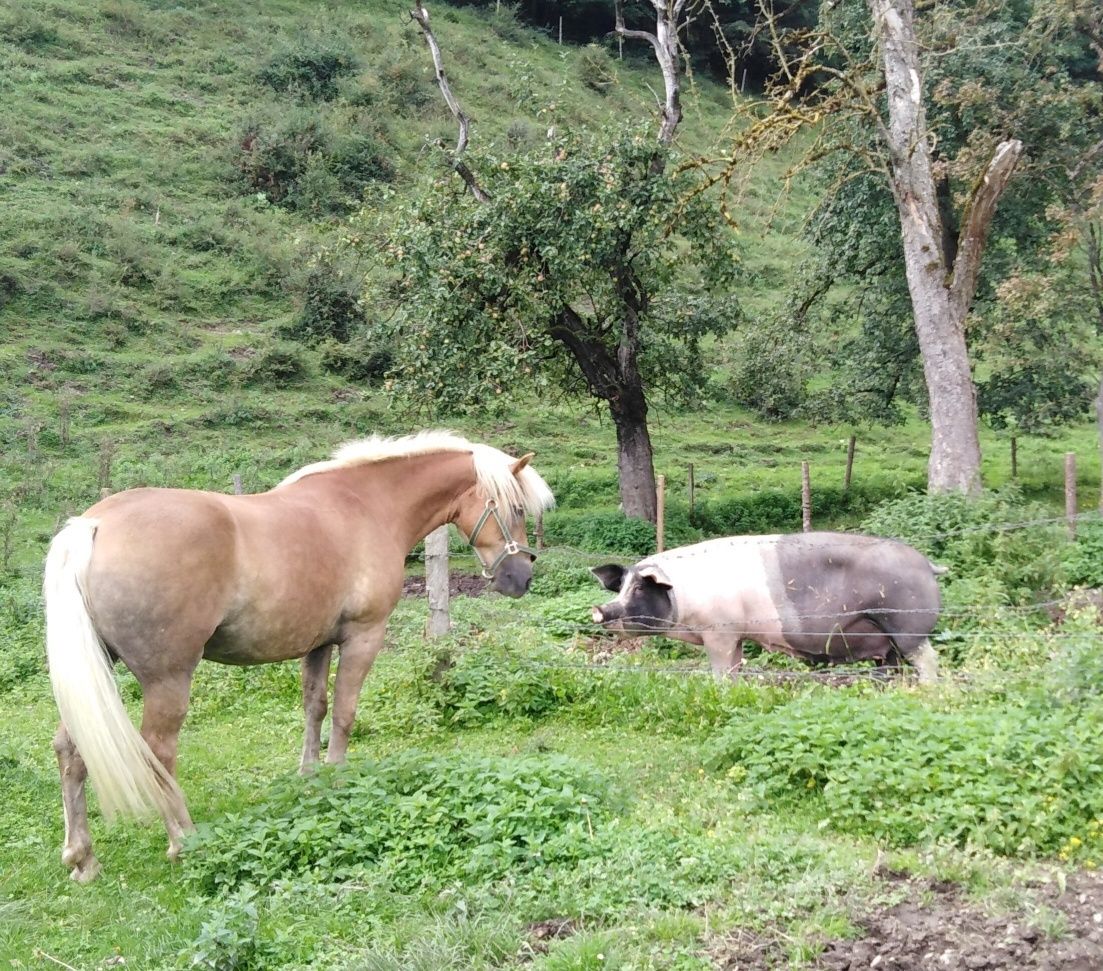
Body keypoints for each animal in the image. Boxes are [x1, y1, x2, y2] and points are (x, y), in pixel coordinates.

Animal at [44, 430, 555, 878]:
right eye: (514, 508)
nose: (521, 578)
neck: (368, 507)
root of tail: (94, 525)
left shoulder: (318, 644)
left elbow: (315, 707)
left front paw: (310, 780)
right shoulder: (363, 637)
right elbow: (345, 712)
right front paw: (338, 777)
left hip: (97, 674)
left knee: (71, 748)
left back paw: (82, 859)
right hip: (168, 679)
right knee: (159, 750)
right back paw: (183, 840)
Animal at [591, 531, 944, 684]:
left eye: (639, 588)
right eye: (620, 587)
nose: (600, 609)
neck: (683, 597)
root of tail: (928, 565)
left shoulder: (719, 632)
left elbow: (721, 670)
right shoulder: (736, 635)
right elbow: (735, 667)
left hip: (908, 628)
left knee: (930, 661)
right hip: (887, 641)